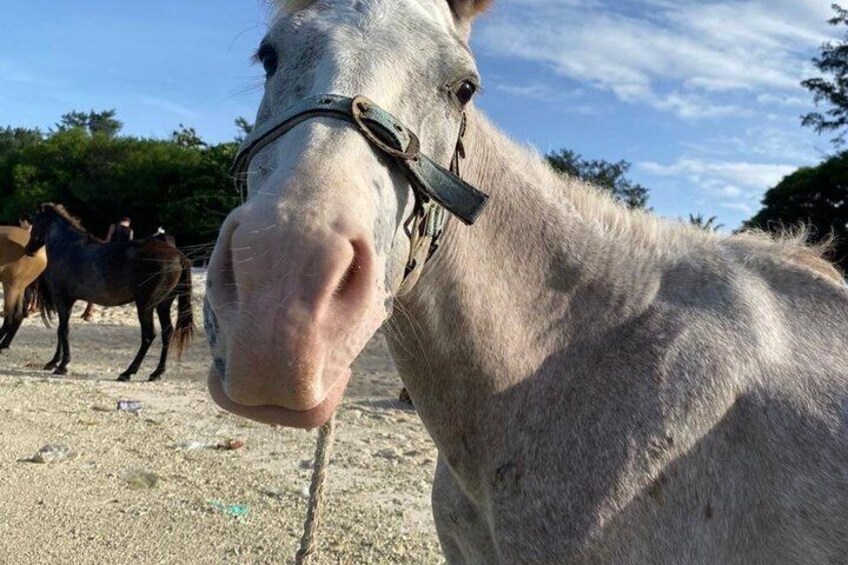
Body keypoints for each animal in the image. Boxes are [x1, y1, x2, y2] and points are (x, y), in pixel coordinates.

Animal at [25, 204, 194, 380]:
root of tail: (178, 255)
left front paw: (62, 365)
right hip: (163, 305)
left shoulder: (62, 299)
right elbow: (61, 329)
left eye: (35, 222)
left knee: (148, 335)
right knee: (167, 333)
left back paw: (128, 372)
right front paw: (54, 362)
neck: (67, 246)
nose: (28, 250)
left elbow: (63, 330)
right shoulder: (67, 301)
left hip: (146, 305)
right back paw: (157, 373)